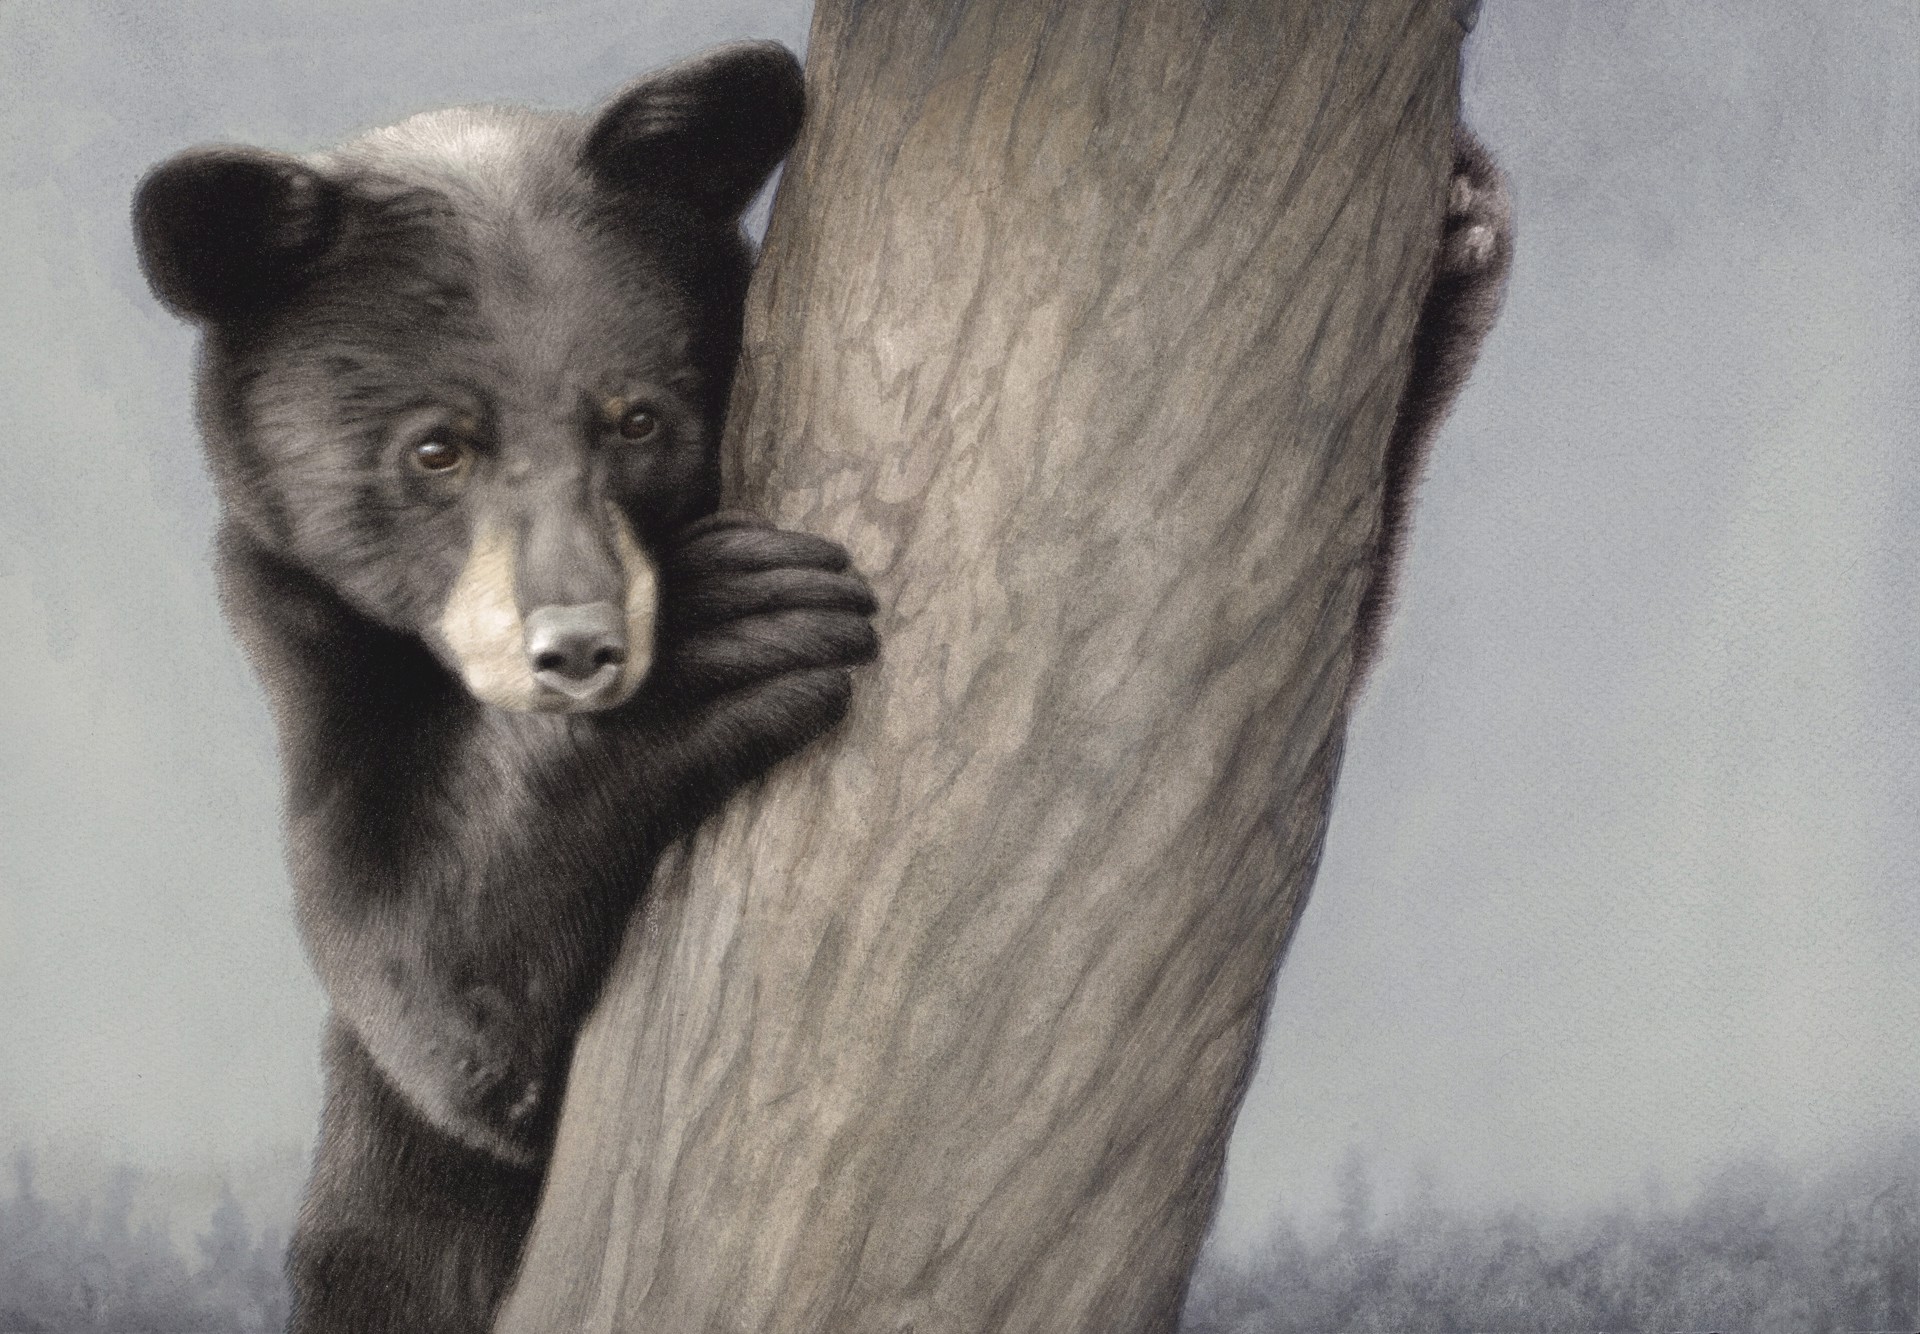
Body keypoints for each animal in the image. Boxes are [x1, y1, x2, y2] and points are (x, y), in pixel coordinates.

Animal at [133, 41, 877, 1333]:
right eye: (439, 446)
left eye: (638, 416)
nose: (580, 648)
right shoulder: (317, 673)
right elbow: (422, 961)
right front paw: (731, 623)